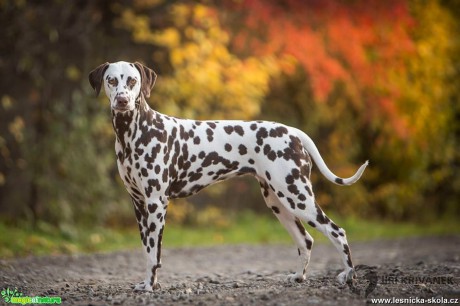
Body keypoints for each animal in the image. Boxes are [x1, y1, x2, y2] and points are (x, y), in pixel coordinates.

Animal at [89, 60, 366, 292]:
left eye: (132, 80)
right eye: (111, 80)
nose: (122, 100)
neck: (136, 132)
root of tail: (292, 132)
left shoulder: (157, 203)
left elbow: (153, 255)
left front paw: (150, 286)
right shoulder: (138, 203)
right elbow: (147, 250)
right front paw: (149, 283)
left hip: (298, 198)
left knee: (337, 232)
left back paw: (349, 275)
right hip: (279, 203)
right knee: (305, 240)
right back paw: (299, 277)